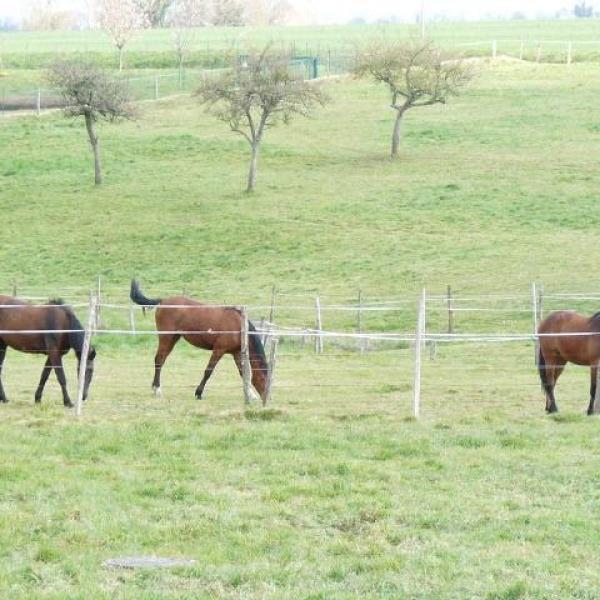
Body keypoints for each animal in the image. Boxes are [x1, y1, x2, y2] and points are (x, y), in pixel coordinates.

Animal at [130, 282, 268, 404]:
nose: (266, 399)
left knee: (161, 359)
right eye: (263, 379)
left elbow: (243, 373)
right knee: (159, 360)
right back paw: (157, 389)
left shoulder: (236, 353)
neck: (239, 325)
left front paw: (251, 395)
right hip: (166, 338)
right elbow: (208, 371)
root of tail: (163, 301)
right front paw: (198, 393)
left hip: (173, 339)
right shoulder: (219, 350)